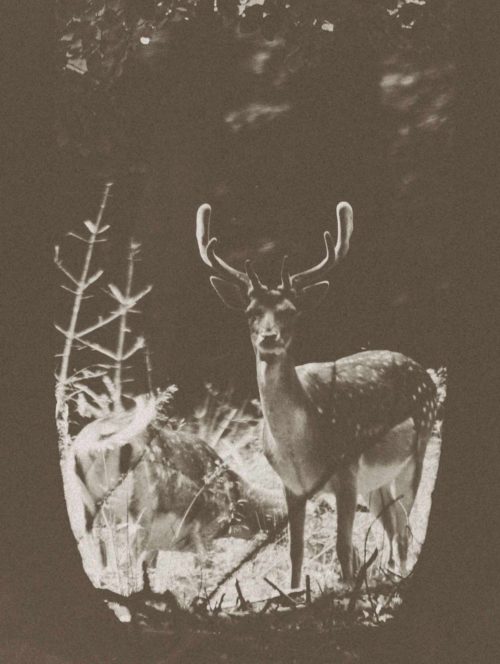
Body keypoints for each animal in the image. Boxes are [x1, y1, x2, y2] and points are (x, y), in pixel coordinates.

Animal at [196, 201, 438, 589]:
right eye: (251, 312)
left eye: (291, 312)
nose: (269, 337)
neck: (299, 448)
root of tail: (423, 373)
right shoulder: (291, 487)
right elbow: (296, 551)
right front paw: (294, 593)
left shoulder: (346, 472)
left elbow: (343, 549)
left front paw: (348, 591)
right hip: (376, 482)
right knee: (394, 527)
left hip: (417, 452)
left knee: (403, 531)